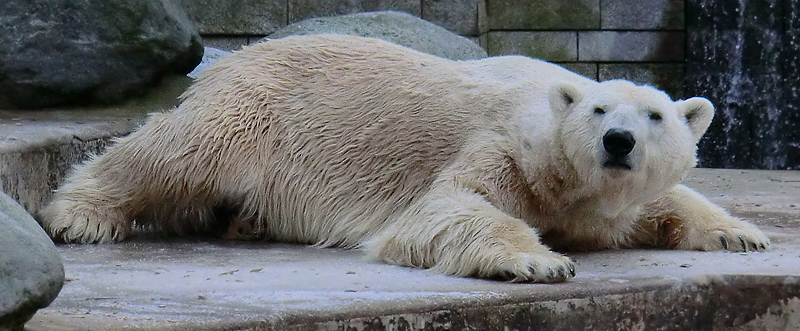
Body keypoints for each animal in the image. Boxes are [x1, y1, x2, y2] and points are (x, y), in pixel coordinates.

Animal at [40, 33, 772, 282]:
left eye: (654, 115)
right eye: (597, 110)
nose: (617, 142)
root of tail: (225, 60)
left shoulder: (606, 194)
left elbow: (666, 199)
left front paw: (741, 234)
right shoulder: (504, 150)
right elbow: (450, 206)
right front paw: (539, 260)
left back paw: (242, 222)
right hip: (253, 110)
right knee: (173, 151)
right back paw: (79, 214)